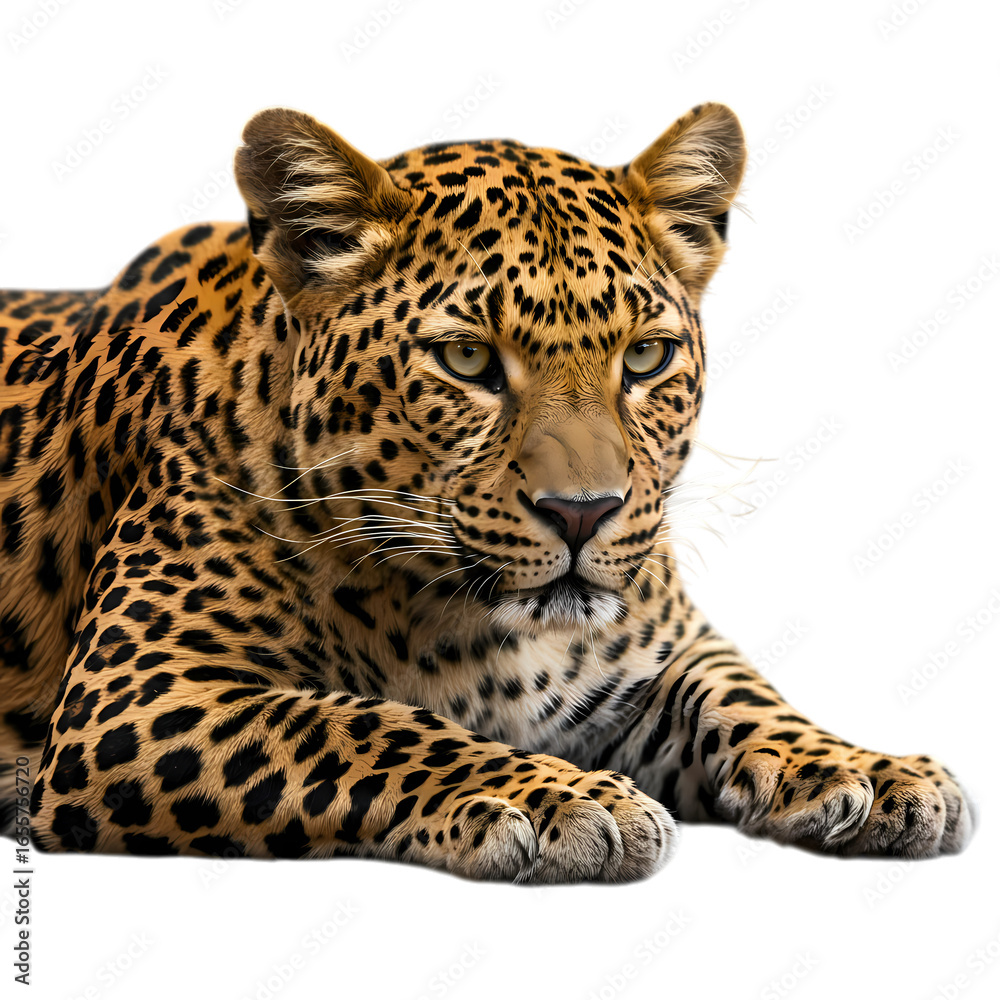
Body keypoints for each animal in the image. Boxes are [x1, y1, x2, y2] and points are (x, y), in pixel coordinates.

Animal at [0, 103, 974, 881]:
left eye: (645, 357)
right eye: (468, 359)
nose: (583, 512)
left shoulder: (664, 649)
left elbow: (742, 692)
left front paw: (867, 770)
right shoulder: (138, 690)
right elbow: (362, 722)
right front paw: (567, 800)